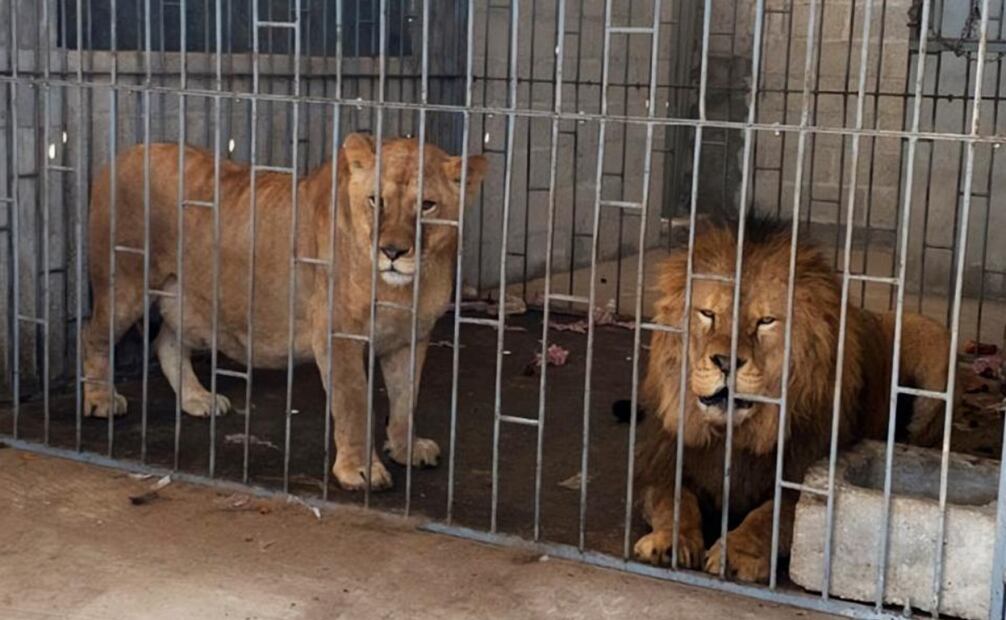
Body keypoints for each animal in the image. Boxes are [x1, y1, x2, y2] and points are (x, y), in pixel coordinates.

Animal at [82, 134, 487, 491]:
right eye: (376, 201)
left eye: (427, 205)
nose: (392, 251)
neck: (401, 290)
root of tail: (124, 154)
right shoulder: (337, 337)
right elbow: (353, 403)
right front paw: (360, 471)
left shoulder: (410, 339)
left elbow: (406, 400)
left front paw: (406, 448)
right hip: (125, 285)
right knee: (95, 335)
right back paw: (101, 399)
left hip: (190, 303)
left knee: (166, 342)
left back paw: (197, 399)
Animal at [629, 216, 952, 582]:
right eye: (708, 314)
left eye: (766, 321)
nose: (725, 362)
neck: (737, 436)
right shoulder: (662, 463)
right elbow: (673, 500)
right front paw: (669, 542)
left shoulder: (803, 476)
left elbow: (768, 517)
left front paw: (735, 553)